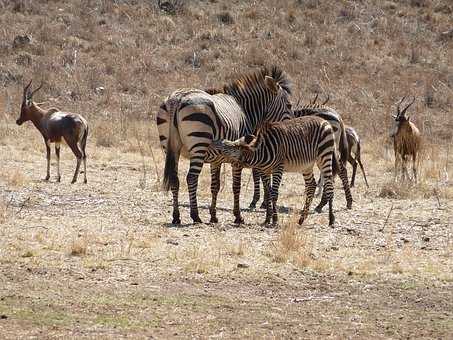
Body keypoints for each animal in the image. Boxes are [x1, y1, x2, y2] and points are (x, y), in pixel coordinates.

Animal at [158, 66, 294, 226]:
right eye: (289, 105)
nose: (292, 129)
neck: (244, 110)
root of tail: (177, 99)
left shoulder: (216, 160)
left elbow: (215, 186)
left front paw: (213, 216)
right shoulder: (238, 157)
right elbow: (236, 187)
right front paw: (238, 216)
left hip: (170, 148)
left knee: (175, 179)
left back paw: (176, 216)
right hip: (199, 145)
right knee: (191, 178)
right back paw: (195, 216)